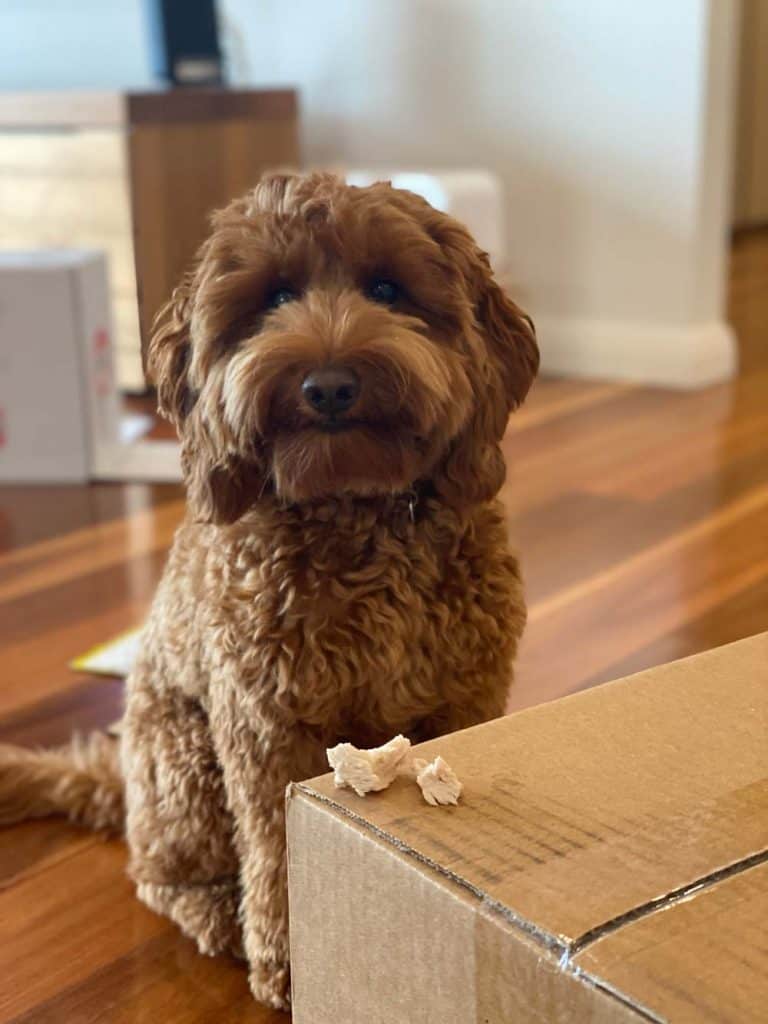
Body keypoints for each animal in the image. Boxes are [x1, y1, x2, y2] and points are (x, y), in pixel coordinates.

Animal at [0, 172, 536, 1011]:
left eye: (387, 287)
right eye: (272, 298)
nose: (330, 385)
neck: (357, 509)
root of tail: (121, 781)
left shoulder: (468, 697)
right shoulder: (266, 728)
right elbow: (276, 847)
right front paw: (290, 966)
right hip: (184, 765)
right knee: (157, 874)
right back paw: (215, 913)